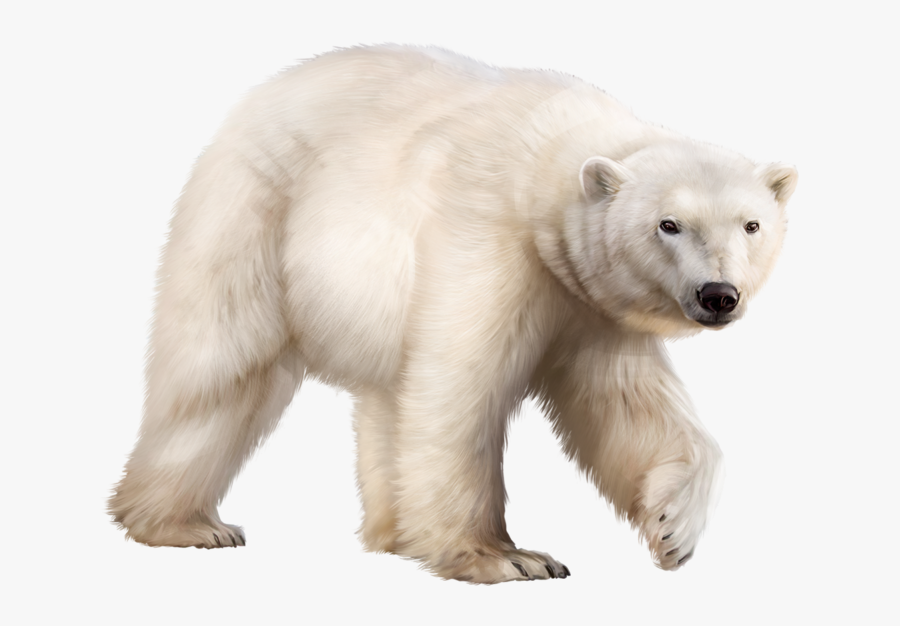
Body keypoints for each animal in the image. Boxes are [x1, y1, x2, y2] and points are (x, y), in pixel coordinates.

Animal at [109, 45, 798, 584]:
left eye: (751, 224)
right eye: (668, 224)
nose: (718, 294)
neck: (544, 157)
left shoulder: (586, 299)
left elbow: (626, 402)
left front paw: (674, 528)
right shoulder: (488, 235)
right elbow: (460, 389)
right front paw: (506, 558)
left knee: (387, 397)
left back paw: (395, 533)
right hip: (254, 211)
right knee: (220, 365)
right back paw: (184, 523)